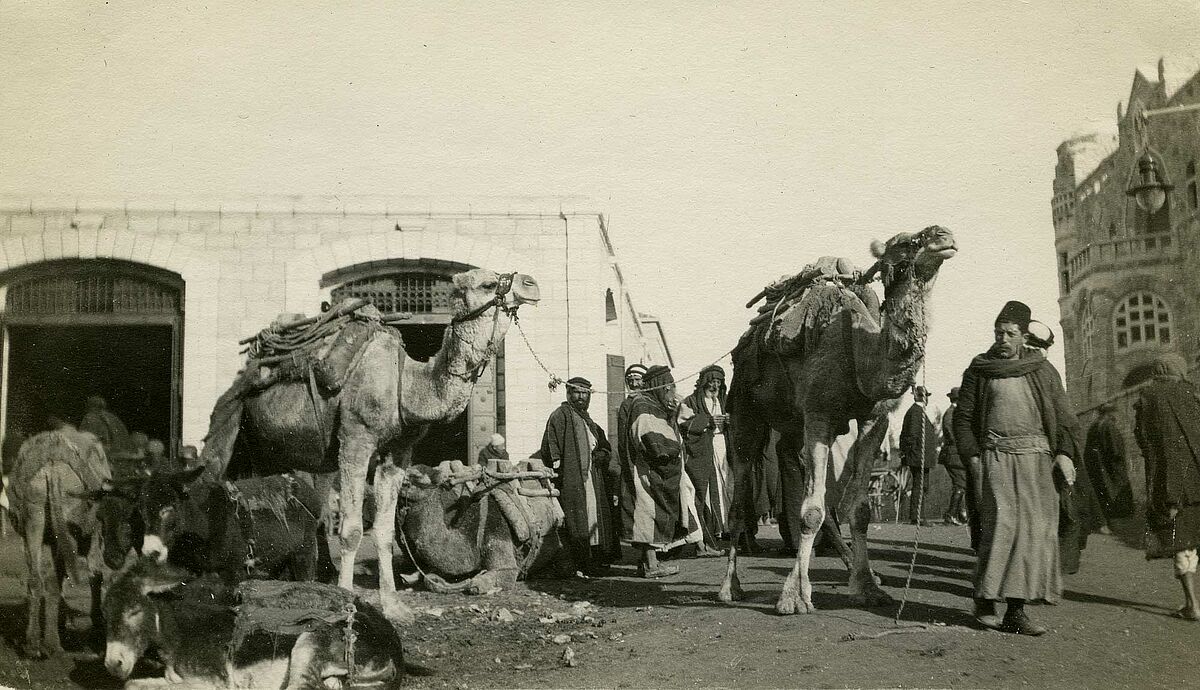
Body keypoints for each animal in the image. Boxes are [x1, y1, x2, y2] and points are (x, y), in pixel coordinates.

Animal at [159, 266, 540, 619]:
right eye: (487, 284)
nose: (531, 283)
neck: (404, 385)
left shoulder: (398, 452)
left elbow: (383, 530)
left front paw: (393, 606)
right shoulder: (357, 439)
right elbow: (353, 529)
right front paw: (347, 599)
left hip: (286, 451)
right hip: (246, 430)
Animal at [715, 226, 960, 614]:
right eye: (904, 243)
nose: (944, 235)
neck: (862, 356)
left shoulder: (874, 420)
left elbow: (858, 509)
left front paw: (868, 588)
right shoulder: (819, 416)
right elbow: (810, 511)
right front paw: (794, 597)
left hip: (791, 426)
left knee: (797, 466)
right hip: (744, 413)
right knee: (739, 498)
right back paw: (729, 588)